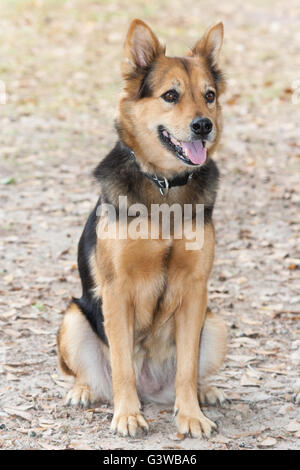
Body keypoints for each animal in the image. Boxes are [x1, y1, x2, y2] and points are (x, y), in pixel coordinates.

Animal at [56, 17, 227, 436]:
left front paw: (191, 415)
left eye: (209, 95)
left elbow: (186, 368)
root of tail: (153, 390)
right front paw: (128, 414)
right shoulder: (117, 290)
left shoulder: (196, 289)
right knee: (94, 375)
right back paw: (84, 391)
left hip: (215, 323)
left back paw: (206, 391)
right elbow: (122, 366)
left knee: (190, 373)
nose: (204, 126)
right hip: (73, 318)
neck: (164, 184)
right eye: (170, 95)